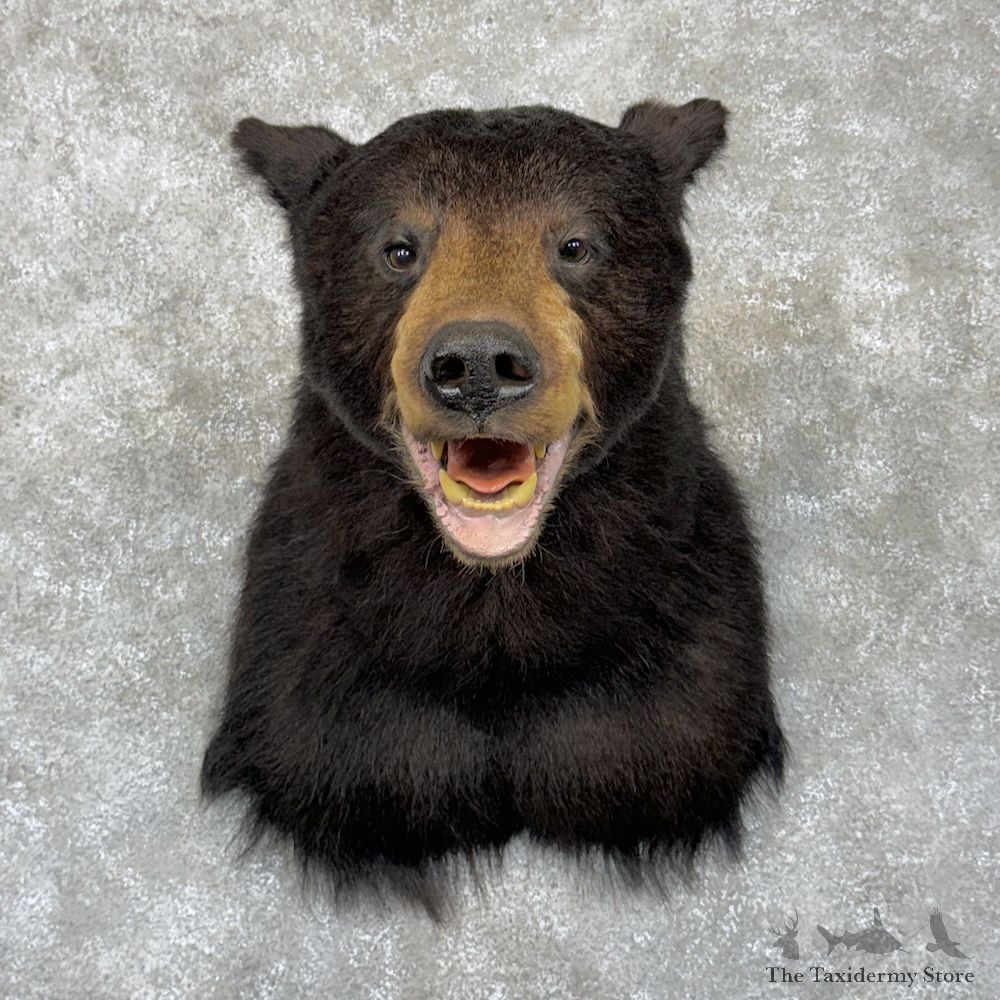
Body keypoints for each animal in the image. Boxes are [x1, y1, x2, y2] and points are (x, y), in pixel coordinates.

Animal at [201, 99, 785, 918]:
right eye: (399, 249)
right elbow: (356, 756)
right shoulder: (315, 642)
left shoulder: (678, 622)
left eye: (575, 244)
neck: (495, 594)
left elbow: (647, 744)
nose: (477, 364)